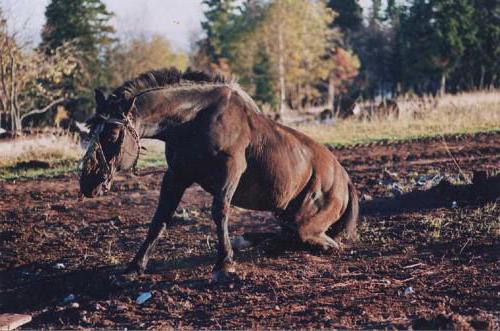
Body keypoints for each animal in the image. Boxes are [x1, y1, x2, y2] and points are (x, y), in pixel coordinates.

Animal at [79, 67, 360, 282]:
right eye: (91, 131)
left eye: (113, 135)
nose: (88, 182)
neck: (194, 119)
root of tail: (345, 179)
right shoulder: (176, 175)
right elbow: (159, 219)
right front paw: (134, 267)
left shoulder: (230, 170)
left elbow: (220, 212)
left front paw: (224, 264)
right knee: (287, 234)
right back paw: (250, 241)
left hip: (307, 223)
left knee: (316, 240)